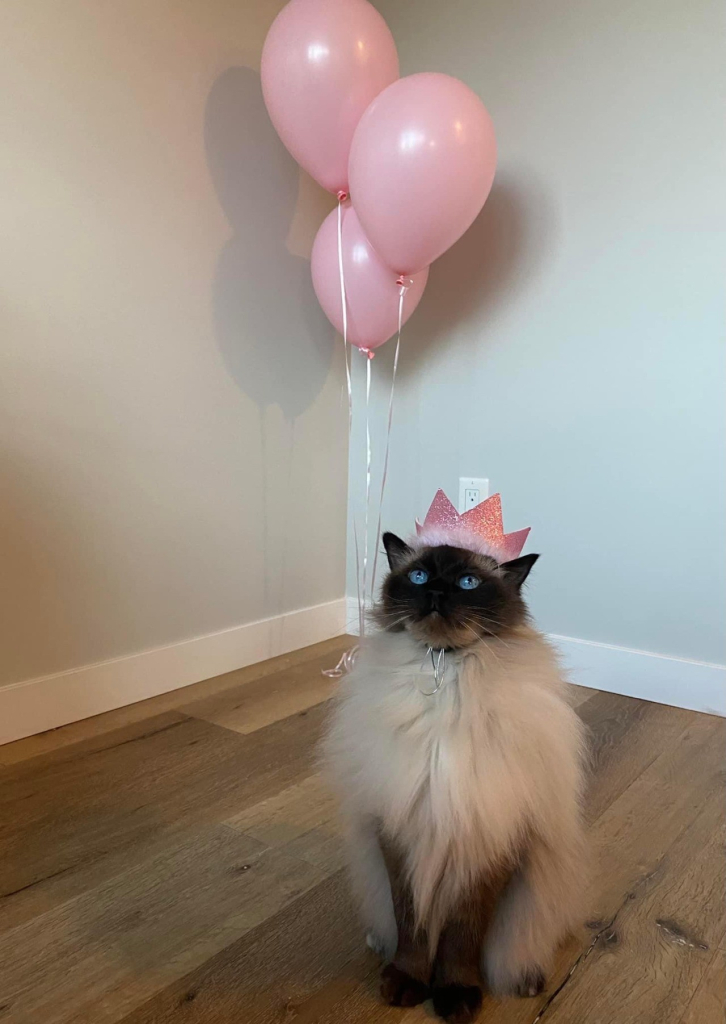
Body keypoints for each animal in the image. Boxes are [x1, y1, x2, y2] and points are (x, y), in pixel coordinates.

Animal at [319, 532, 585, 1019]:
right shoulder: (403, 831)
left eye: (467, 583)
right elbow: (411, 925)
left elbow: (462, 939)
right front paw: (406, 983)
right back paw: (378, 944)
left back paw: (527, 979)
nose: (438, 593)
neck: (445, 675)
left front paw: (455, 996)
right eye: (419, 576)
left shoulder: (486, 839)